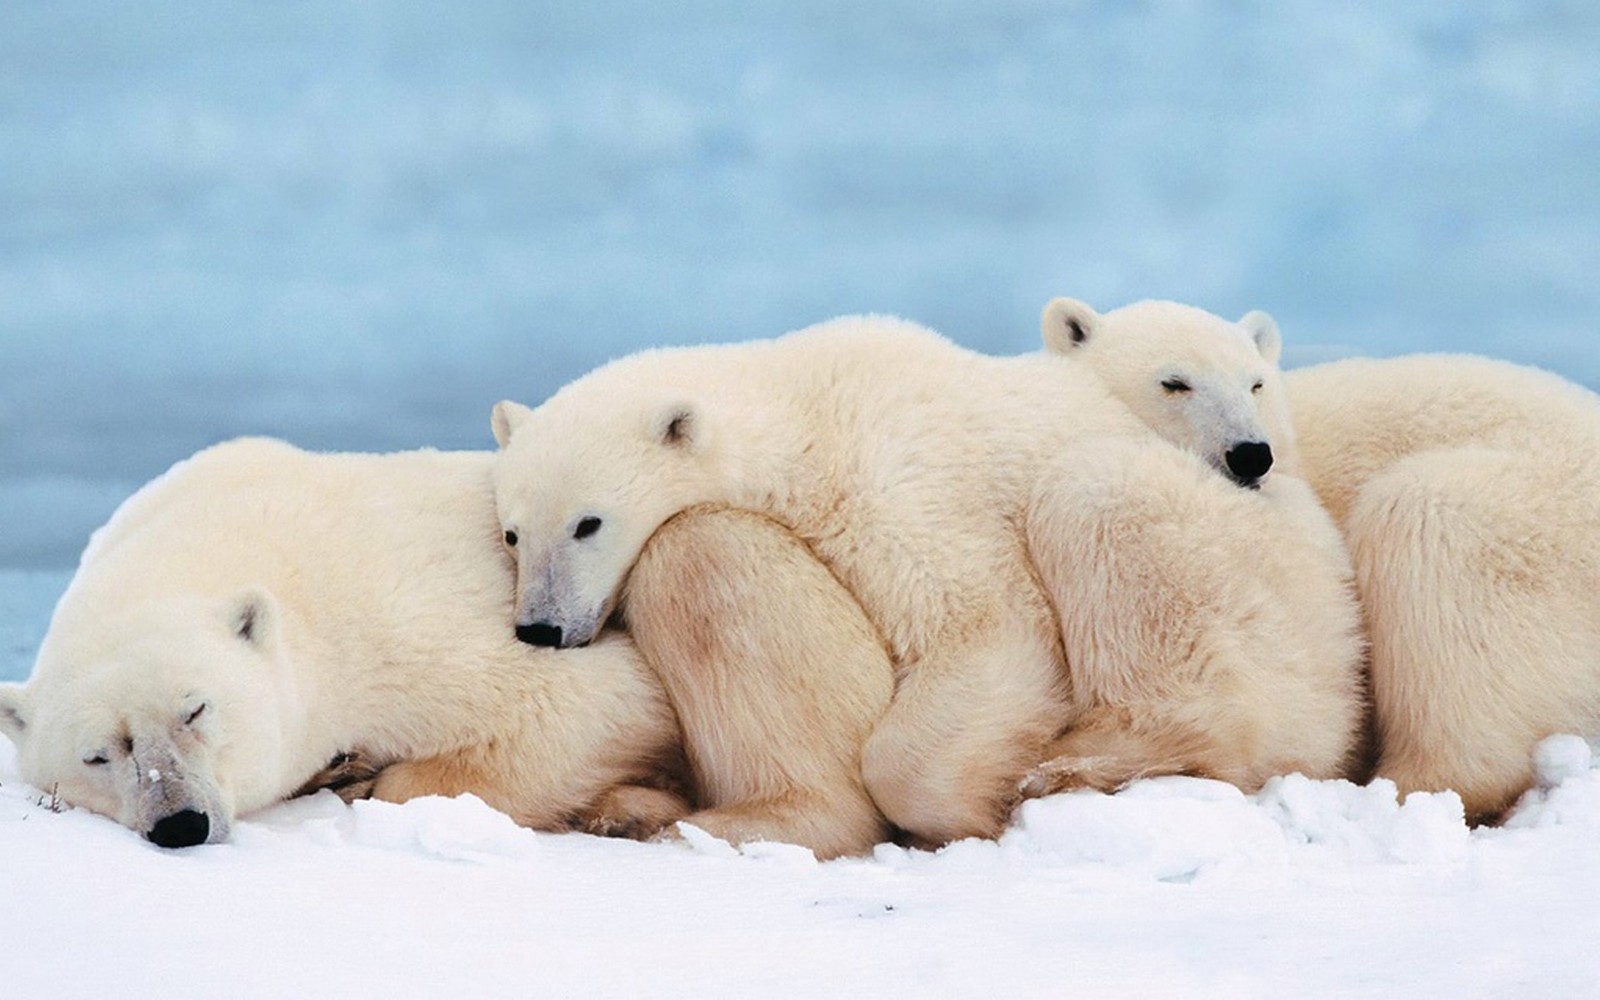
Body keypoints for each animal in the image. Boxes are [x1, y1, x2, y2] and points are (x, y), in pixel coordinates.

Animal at [0, 435, 902, 851]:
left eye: (196, 709)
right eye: (98, 754)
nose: (180, 822)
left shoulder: (394, 619)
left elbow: (593, 702)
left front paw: (368, 775)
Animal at [489, 313, 1363, 844]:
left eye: (588, 522)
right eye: (512, 532)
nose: (541, 627)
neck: (806, 407)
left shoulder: (899, 482)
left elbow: (986, 626)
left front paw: (971, 807)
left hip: (1252, 578)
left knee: (1098, 499)